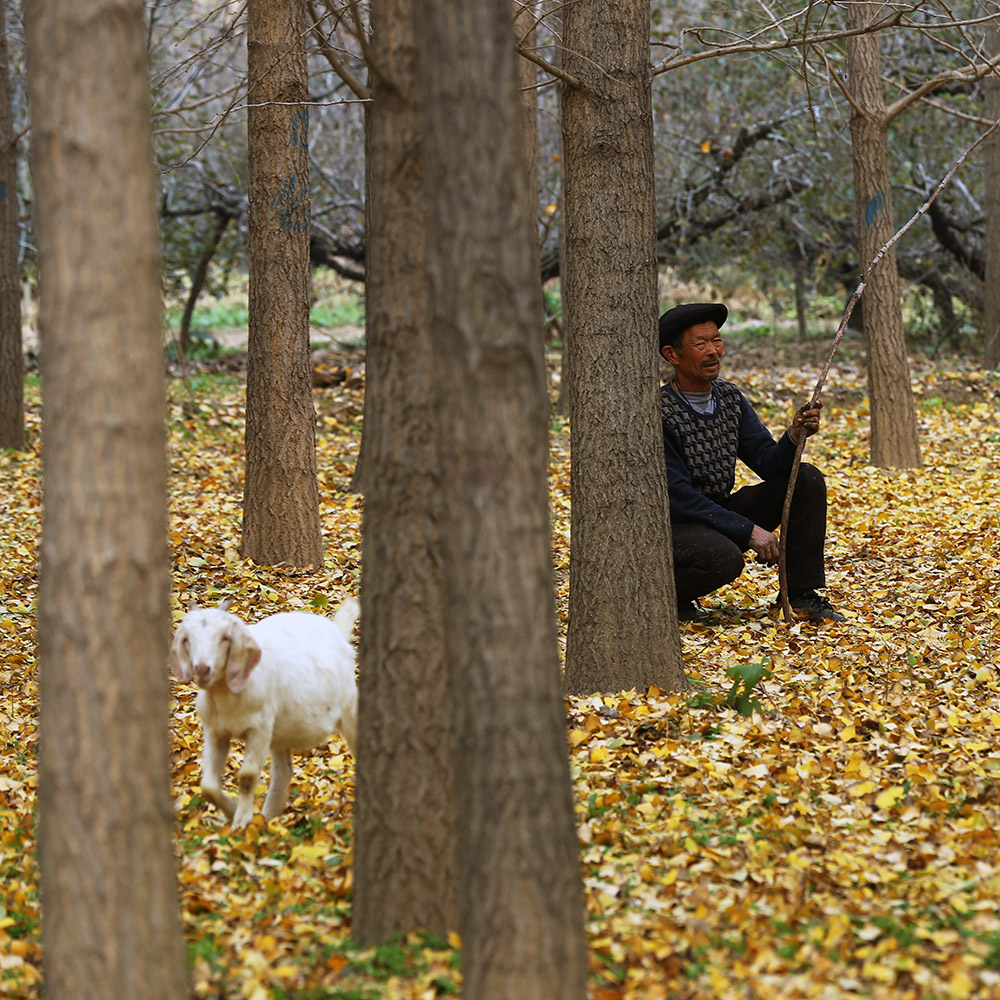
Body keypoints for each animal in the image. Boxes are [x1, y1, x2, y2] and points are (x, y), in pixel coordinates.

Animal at [169, 596, 360, 832]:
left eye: (225, 637)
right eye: (187, 639)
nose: (203, 669)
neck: (227, 696)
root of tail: (337, 631)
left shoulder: (259, 728)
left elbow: (247, 777)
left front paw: (241, 823)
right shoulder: (215, 731)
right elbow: (208, 786)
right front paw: (234, 812)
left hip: (348, 707)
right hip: (279, 732)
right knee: (283, 772)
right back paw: (267, 819)